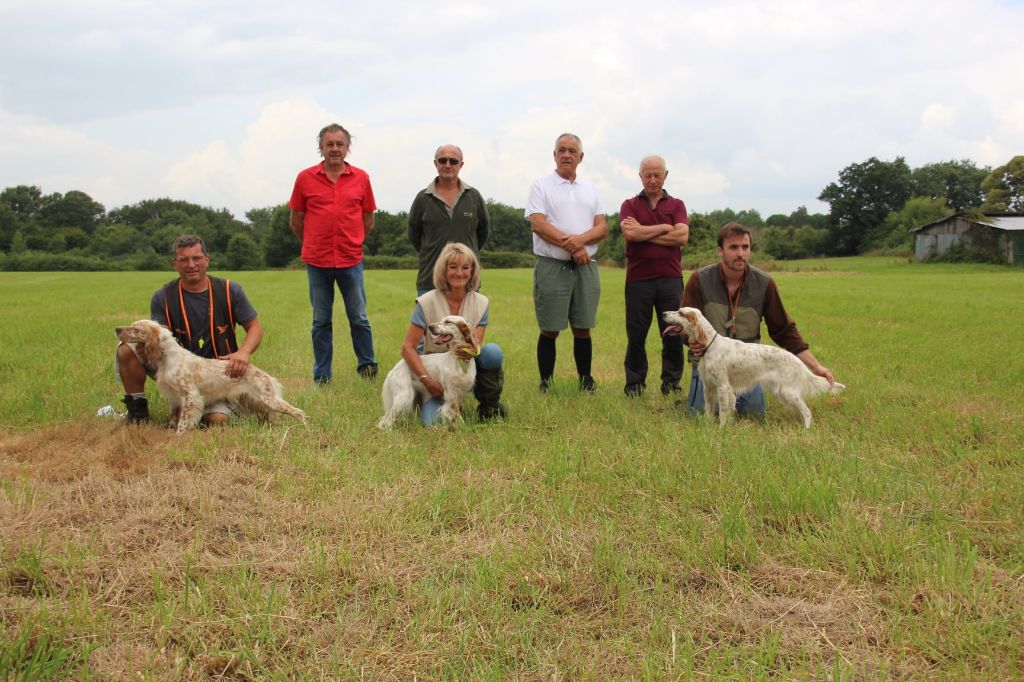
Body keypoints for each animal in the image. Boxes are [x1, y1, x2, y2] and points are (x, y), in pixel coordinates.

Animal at [115, 317, 303, 432]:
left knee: (299, 412)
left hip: (269, 400)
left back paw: (304, 429)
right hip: (257, 402)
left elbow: (182, 423)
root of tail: (265, 375)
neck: (167, 357)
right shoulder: (174, 398)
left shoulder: (190, 396)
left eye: (135, 329)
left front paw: (178, 437)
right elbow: (174, 419)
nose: (117, 329)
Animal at [663, 307, 839, 425]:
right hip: (784, 393)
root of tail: (798, 361)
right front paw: (708, 426)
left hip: (788, 392)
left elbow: (723, 412)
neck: (710, 346)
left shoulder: (723, 387)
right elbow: (708, 410)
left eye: (680, 312)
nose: (664, 313)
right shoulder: (708, 387)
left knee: (807, 412)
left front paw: (721, 430)